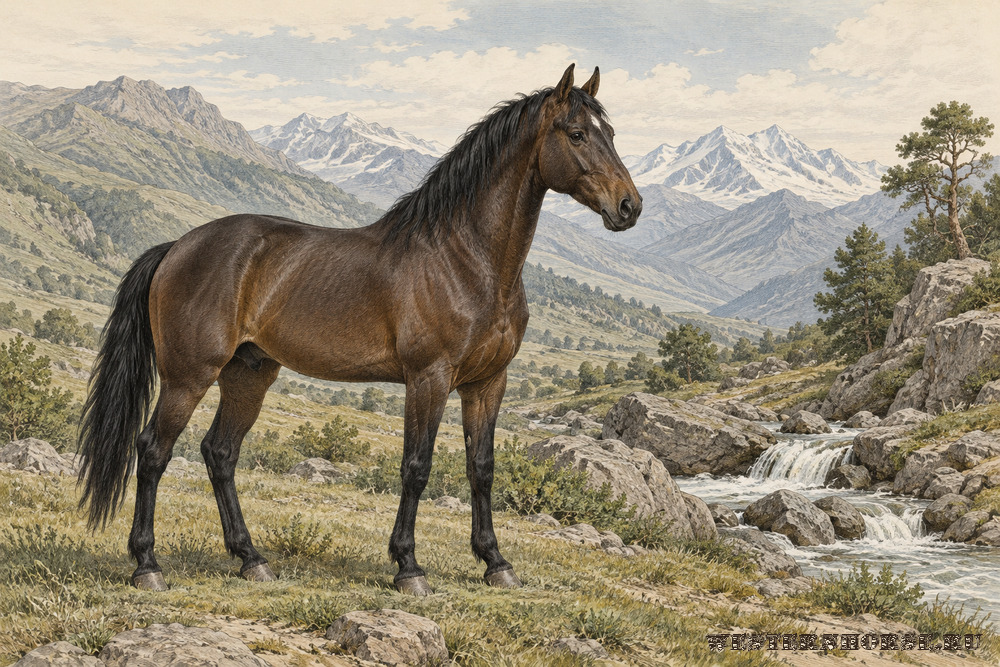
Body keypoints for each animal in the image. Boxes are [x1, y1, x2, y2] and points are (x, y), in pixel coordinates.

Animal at [77, 64, 641, 595]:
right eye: (576, 134)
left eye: (611, 132)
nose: (629, 206)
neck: (464, 259)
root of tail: (176, 247)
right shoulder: (428, 378)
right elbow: (416, 468)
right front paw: (408, 567)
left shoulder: (487, 383)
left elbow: (481, 467)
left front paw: (495, 563)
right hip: (189, 376)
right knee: (153, 452)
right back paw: (147, 564)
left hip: (249, 374)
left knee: (220, 453)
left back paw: (251, 559)